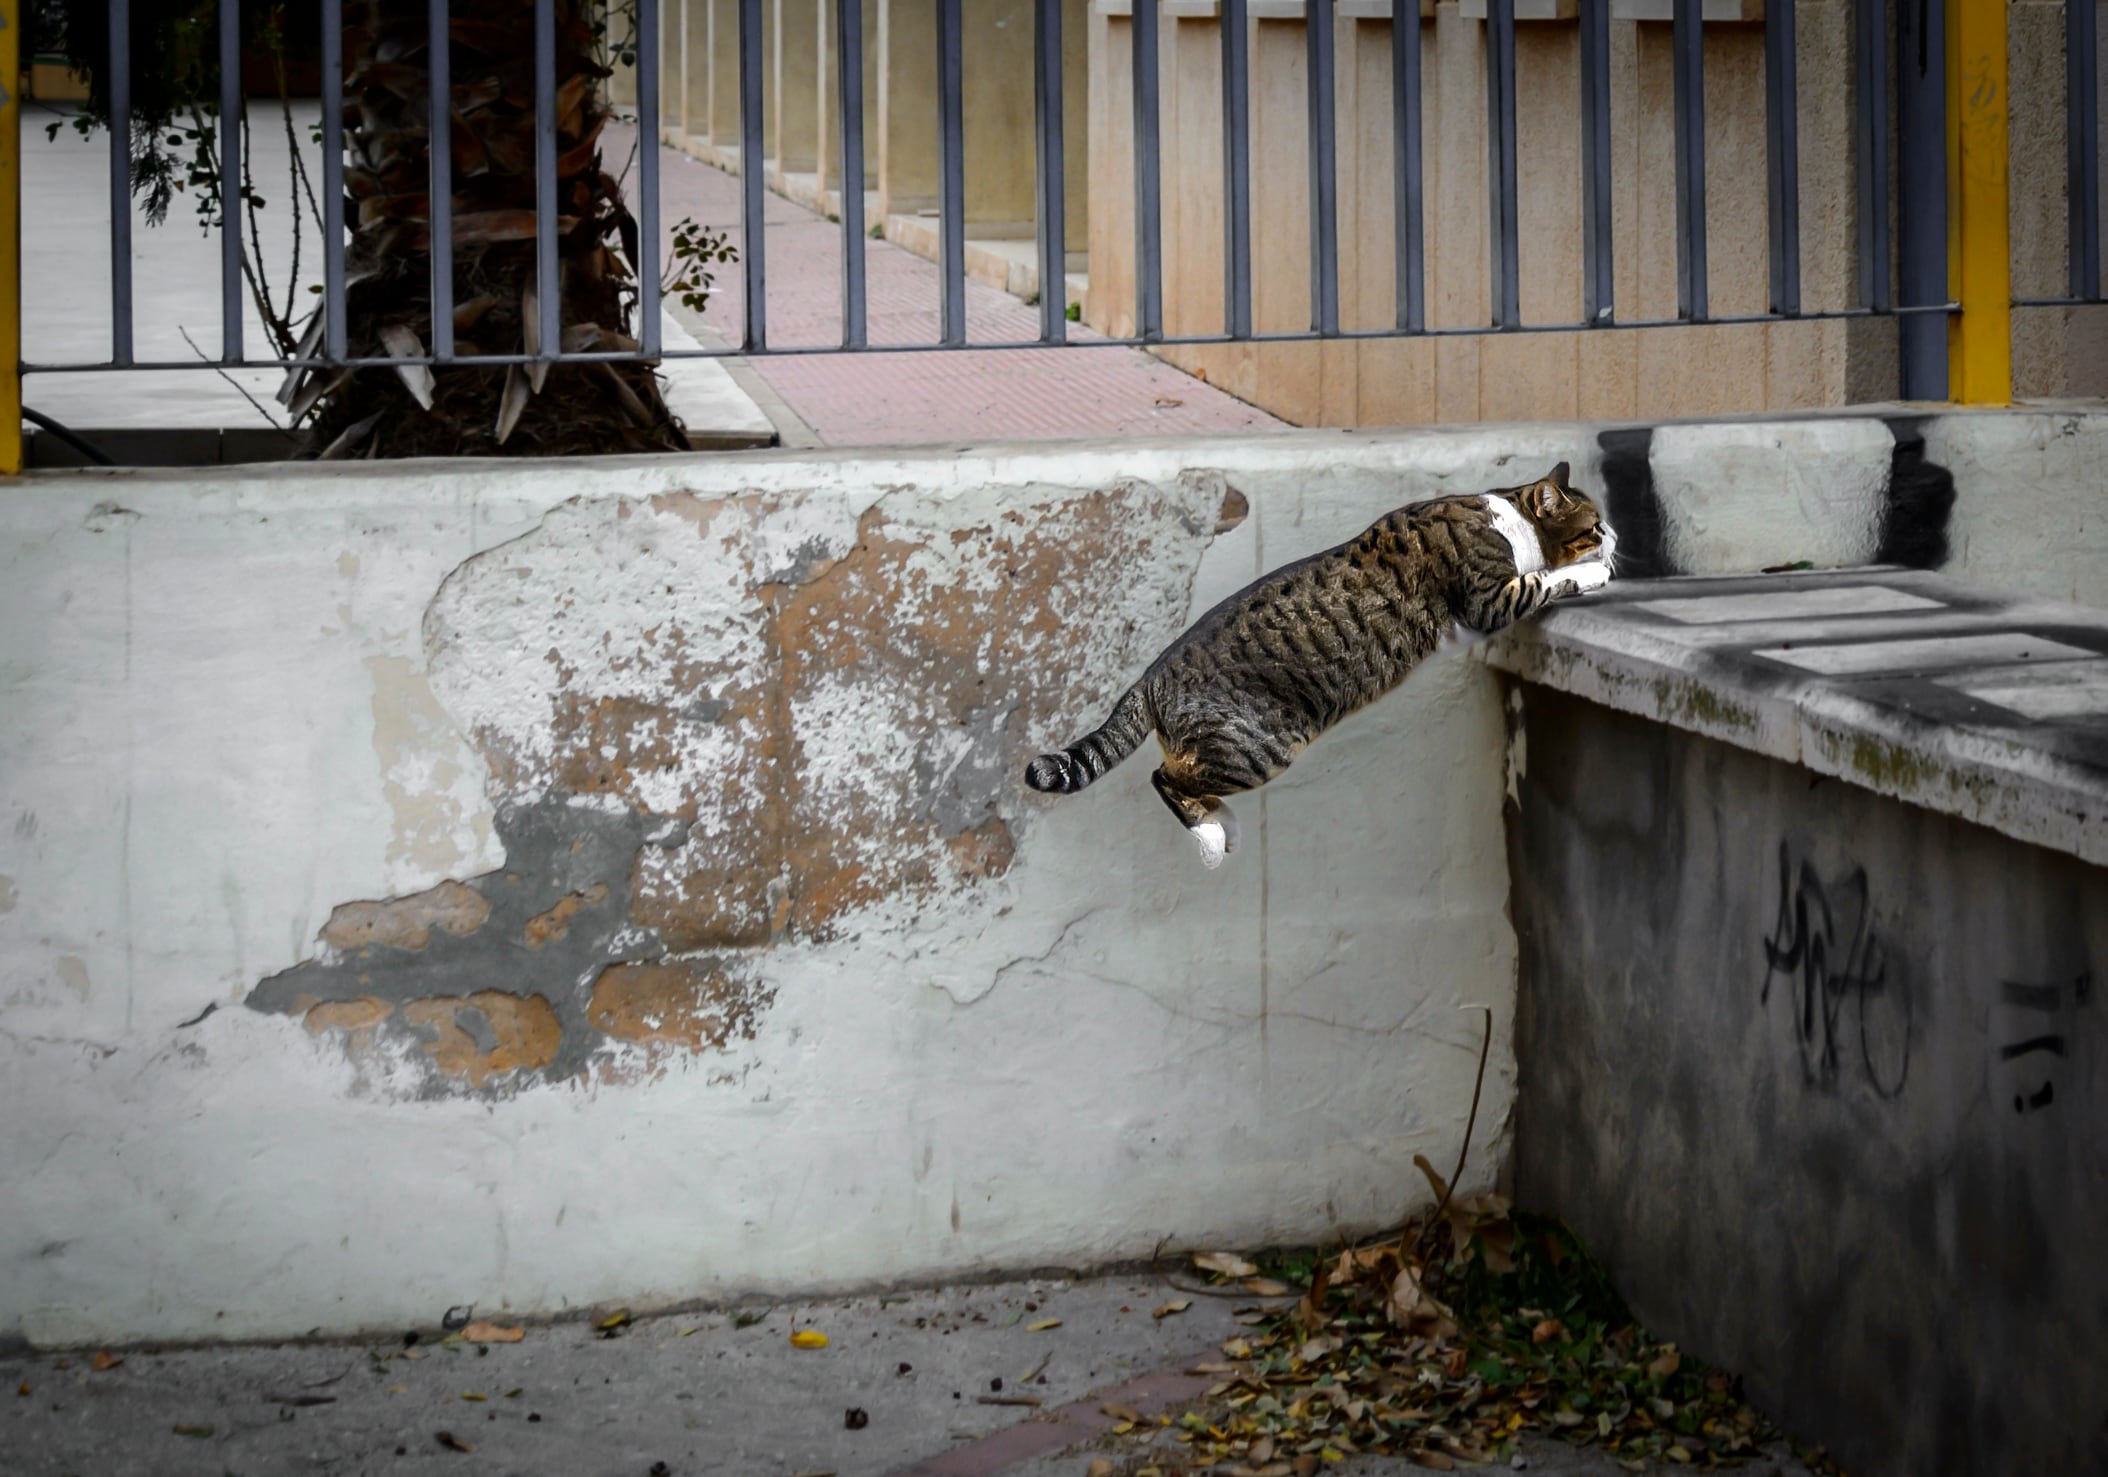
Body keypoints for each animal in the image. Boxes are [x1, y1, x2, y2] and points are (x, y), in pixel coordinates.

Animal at [1020, 463, 1610, 863]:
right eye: (1596, 527)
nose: (1617, 537)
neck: (1507, 515)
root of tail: (1148, 677)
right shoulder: (1488, 599)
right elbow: (1545, 580)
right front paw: (1596, 571)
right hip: (1258, 749)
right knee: (1165, 776)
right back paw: (1213, 836)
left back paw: (1221, 825)